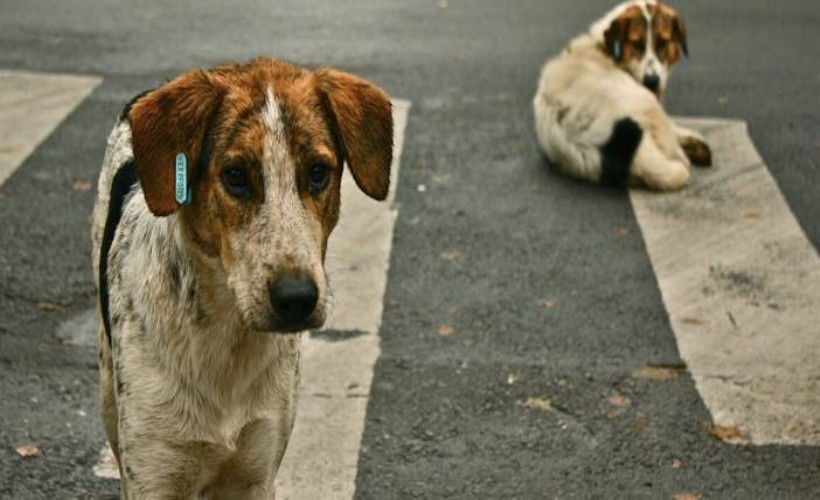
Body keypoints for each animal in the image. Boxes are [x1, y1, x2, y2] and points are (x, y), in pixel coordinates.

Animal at [91, 57, 392, 496]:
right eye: (235, 176)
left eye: (318, 172)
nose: (296, 298)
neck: (227, 336)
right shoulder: (153, 473)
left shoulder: (256, 471)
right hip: (108, 392)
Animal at [532, 0, 712, 191]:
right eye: (636, 44)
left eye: (663, 42)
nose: (652, 81)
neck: (603, 47)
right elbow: (673, 127)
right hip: (646, 103)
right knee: (676, 154)